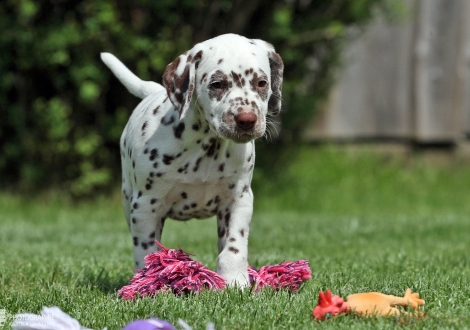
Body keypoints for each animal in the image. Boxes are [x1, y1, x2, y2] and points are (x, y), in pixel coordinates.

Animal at [102, 33, 282, 286]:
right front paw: (148, 281)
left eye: (262, 83)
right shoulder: (146, 205)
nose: (246, 119)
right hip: (129, 201)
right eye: (217, 84)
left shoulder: (239, 199)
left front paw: (235, 279)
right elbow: (147, 250)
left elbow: (234, 246)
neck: (207, 147)